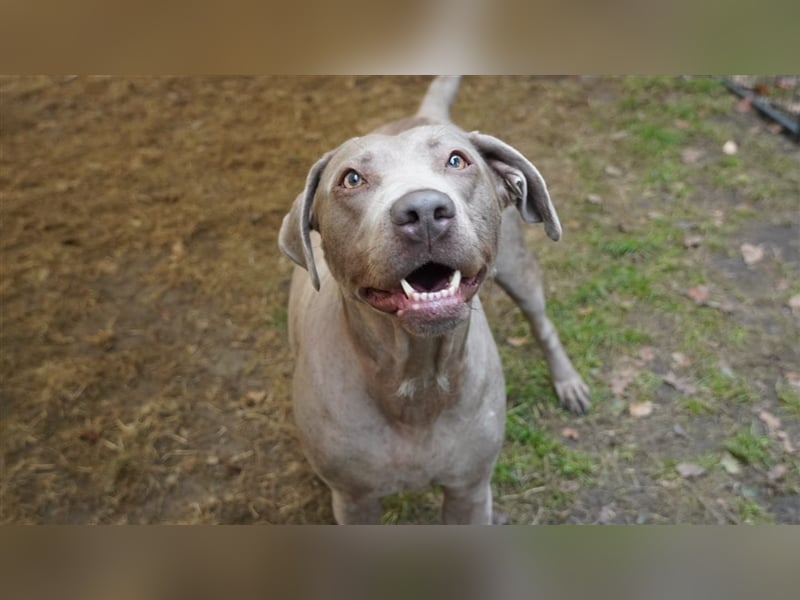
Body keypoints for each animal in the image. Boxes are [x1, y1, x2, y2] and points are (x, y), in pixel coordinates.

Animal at [280, 76, 588, 524]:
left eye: (457, 161)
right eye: (351, 179)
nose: (424, 210)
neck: (417, 379)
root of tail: (423, 113)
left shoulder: (470, 491)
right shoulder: (354, 501)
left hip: (518, 270)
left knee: (541, 323)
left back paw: (568, 382)